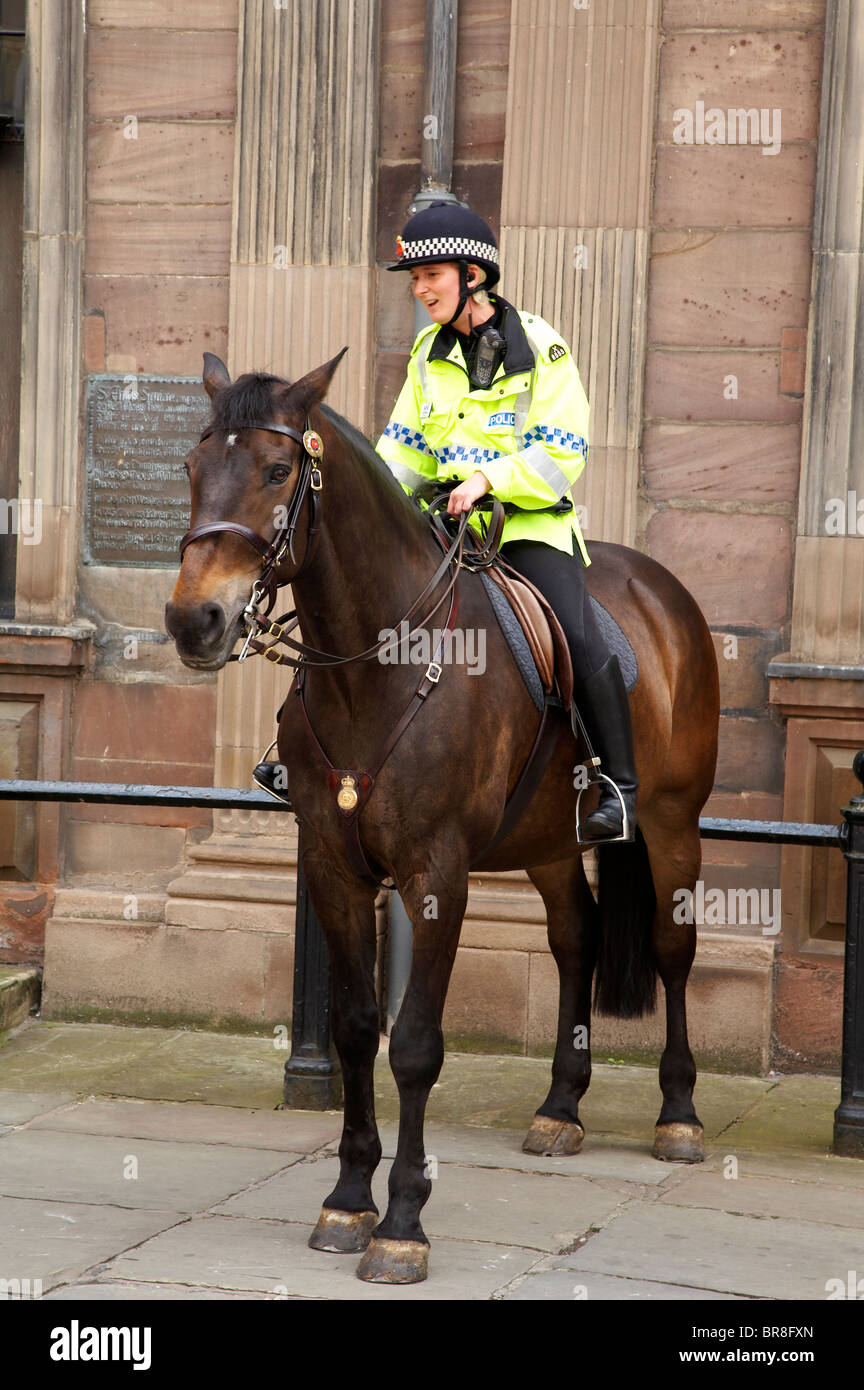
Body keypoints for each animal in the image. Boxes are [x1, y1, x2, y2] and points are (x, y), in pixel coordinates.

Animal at [165, 353, 722, 1284]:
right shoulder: (333, 866)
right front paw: (348, 1198)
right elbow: (357, 1030)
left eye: (277, 471)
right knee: (574, 938)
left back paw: (678, 1111)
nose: (192, 618)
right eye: (191, 466)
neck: (381, 663)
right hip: (549, 840)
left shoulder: (437, 875)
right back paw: (561, 1104)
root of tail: (658, 584)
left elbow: (417, 1044)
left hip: (675, 820)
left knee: (673, 948)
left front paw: (402, 1222)